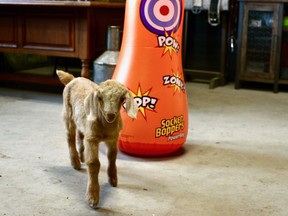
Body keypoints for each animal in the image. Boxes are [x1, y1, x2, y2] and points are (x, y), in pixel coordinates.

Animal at [56, 70, 138, 208]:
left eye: (122, 99)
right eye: (100, 98)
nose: (110, 115)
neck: (105, 127)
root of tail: (73, 79)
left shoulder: (113, 138)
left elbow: (112, 156)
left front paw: (113, 179)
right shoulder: (92, 139)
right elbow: (94, 163)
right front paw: (92, 197)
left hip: (81, 122)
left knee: (80, 134)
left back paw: (81, 157)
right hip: (68, 113)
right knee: (70, 137)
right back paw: (75, 162)